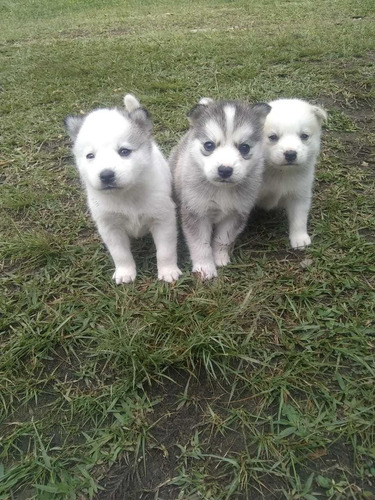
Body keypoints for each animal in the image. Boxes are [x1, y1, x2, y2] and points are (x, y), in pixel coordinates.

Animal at [64, 93, 182, 282]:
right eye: (90, 156)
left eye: (124, 151)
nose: (106, 175)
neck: (126, 196)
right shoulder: (110, 228)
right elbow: (120, 254)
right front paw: (125, 272)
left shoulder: (163, 220)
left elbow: (165, 251)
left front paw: (168, 271)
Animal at [260, 99, 328, 250]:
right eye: (273, 137)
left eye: (304, 136)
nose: (290, 154)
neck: (281, 173)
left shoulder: (300, 193)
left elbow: (299, 218)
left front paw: (300, 239)